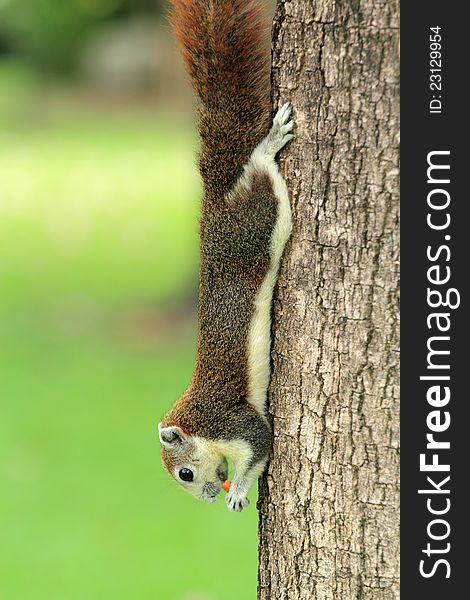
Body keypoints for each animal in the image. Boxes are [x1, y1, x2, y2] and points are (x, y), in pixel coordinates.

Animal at [160, 0, 296, 512]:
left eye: (183, 472)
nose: (206, 498)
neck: (198, 423)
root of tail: (217, 198)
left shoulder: (232, 423)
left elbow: (260, 443)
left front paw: (238, 491)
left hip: (255, 221)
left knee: (259, 167)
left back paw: (270, 141)